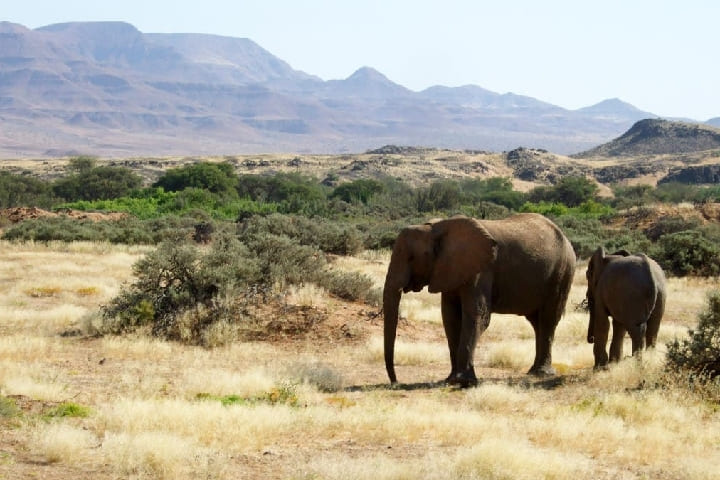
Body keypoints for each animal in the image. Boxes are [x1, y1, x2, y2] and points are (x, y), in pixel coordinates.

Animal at [386, 214, 576, 386]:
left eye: (411, 258)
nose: (396, 382)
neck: (436, 229)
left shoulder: (480, 270)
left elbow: (477, 316)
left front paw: (463, 382)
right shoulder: (450, 271)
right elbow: (450, 318)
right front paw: (450, 380)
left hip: (562, 273)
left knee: (548, 319)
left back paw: (541, 373)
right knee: (537, 323)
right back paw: (534, 372)